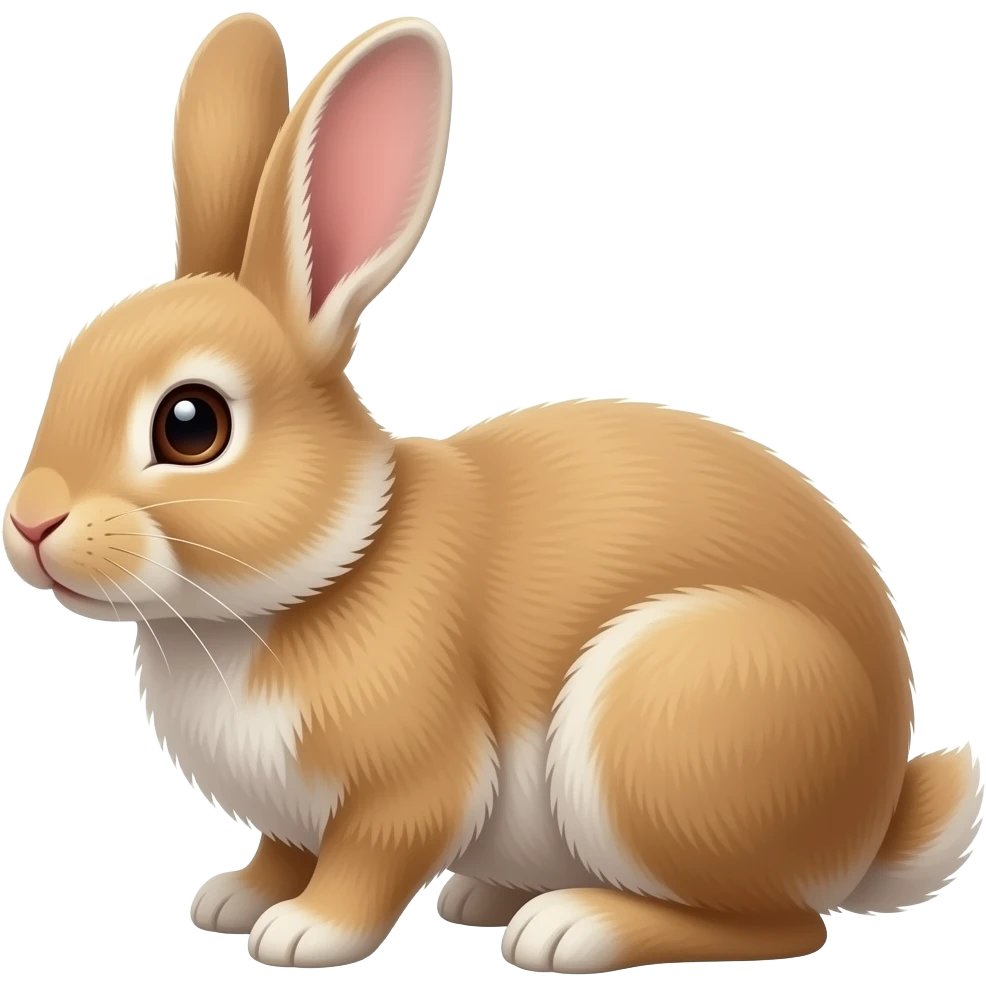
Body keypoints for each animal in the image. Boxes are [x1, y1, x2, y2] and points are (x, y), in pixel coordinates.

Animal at [2, 11, 982, 975]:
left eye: (191, 425)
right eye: (66, 363)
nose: (31, 522)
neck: (321, 570)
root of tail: (872, 824)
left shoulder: (412, 777)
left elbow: (373, 856)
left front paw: (304, 933)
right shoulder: (292, 813)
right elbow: (284, 849)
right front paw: (233, 899)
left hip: (670, 721)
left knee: (783, 924)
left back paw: (571, 927)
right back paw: (486, 898)